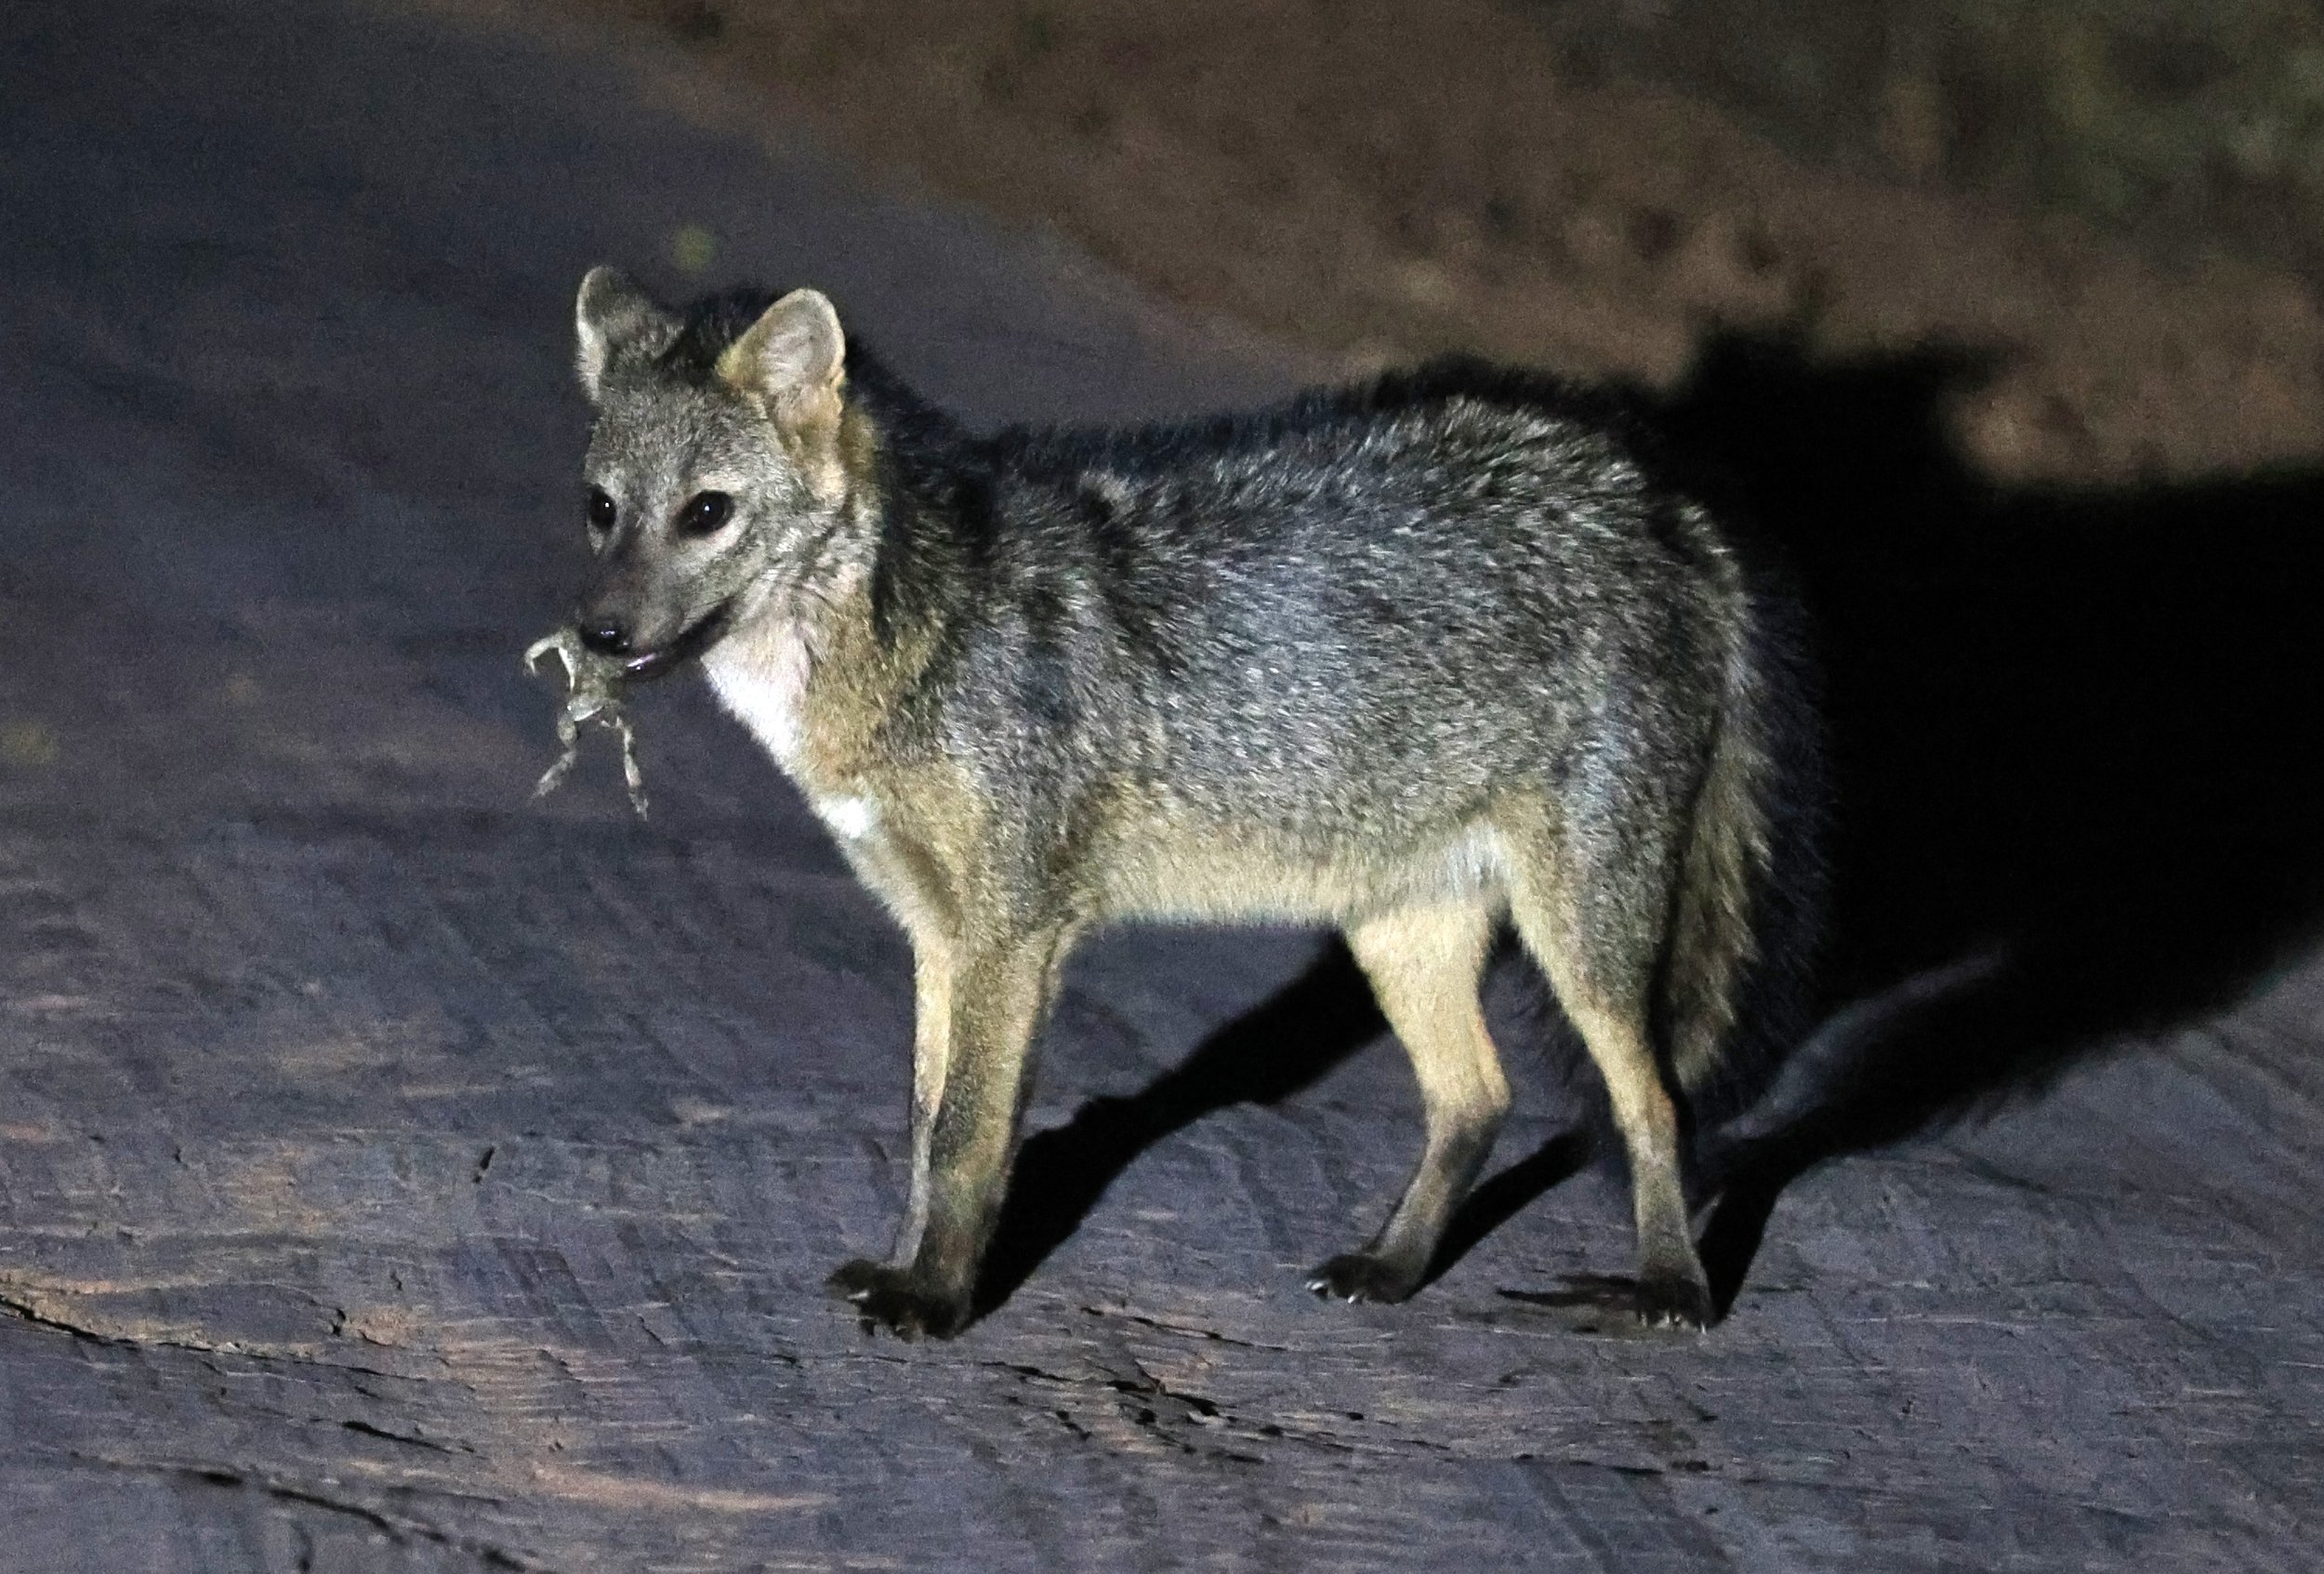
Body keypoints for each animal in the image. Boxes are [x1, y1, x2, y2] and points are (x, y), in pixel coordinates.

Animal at [557, 267, 1823, 1339]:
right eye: (601, 508)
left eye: (707, 512)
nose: (597, 635)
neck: (915, 632)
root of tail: (1660, 499)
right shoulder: (936, 932)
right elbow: (920, 1130)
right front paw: (908, 1266)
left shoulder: (1014, 932)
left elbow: (966, 1135)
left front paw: (935, 1302)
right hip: (1396, 930)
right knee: (1480, 1099)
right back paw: (1390, 1269)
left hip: (1582, 941)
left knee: (1656, 1106)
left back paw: (1670, 1292)